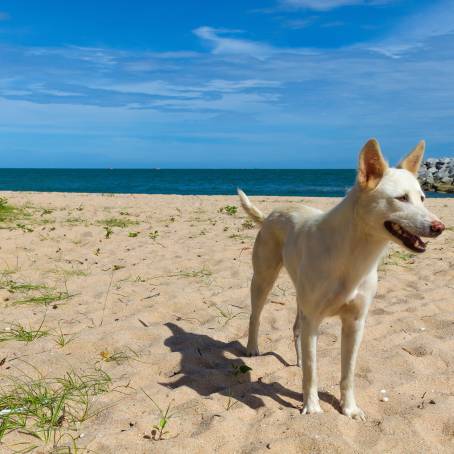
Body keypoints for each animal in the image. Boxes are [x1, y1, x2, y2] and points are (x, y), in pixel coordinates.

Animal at [239, 138, 446, 418]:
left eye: (423, 198)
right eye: (401, 198)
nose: (440, 227)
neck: (353, 255)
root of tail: (272, 213)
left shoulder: (355, 323)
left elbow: (347, 373)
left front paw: (349, 409)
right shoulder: (314, 319)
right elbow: (313, 373)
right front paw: (312, 407)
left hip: (300, 297)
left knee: (297, 329)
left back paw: (298, 360)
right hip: (263, 278)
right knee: (256, 315)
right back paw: (252, 348)